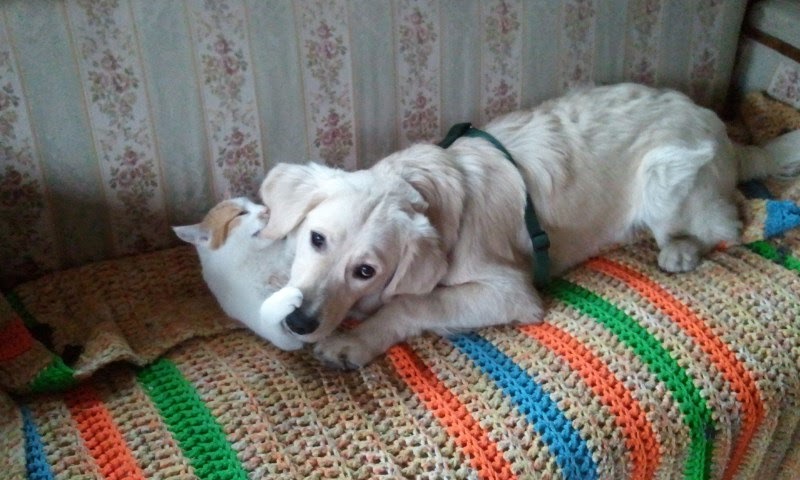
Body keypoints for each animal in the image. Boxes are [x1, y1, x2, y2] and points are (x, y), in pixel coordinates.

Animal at [256, 83, 800, 368]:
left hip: (663, 177)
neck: (425, 187)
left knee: (730, 221)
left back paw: (681, 250)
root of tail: (725, 132)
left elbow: (414, 301)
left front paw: (356, 338)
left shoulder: (510, 291)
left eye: (366, 270)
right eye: (316, 239)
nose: (298, 322)